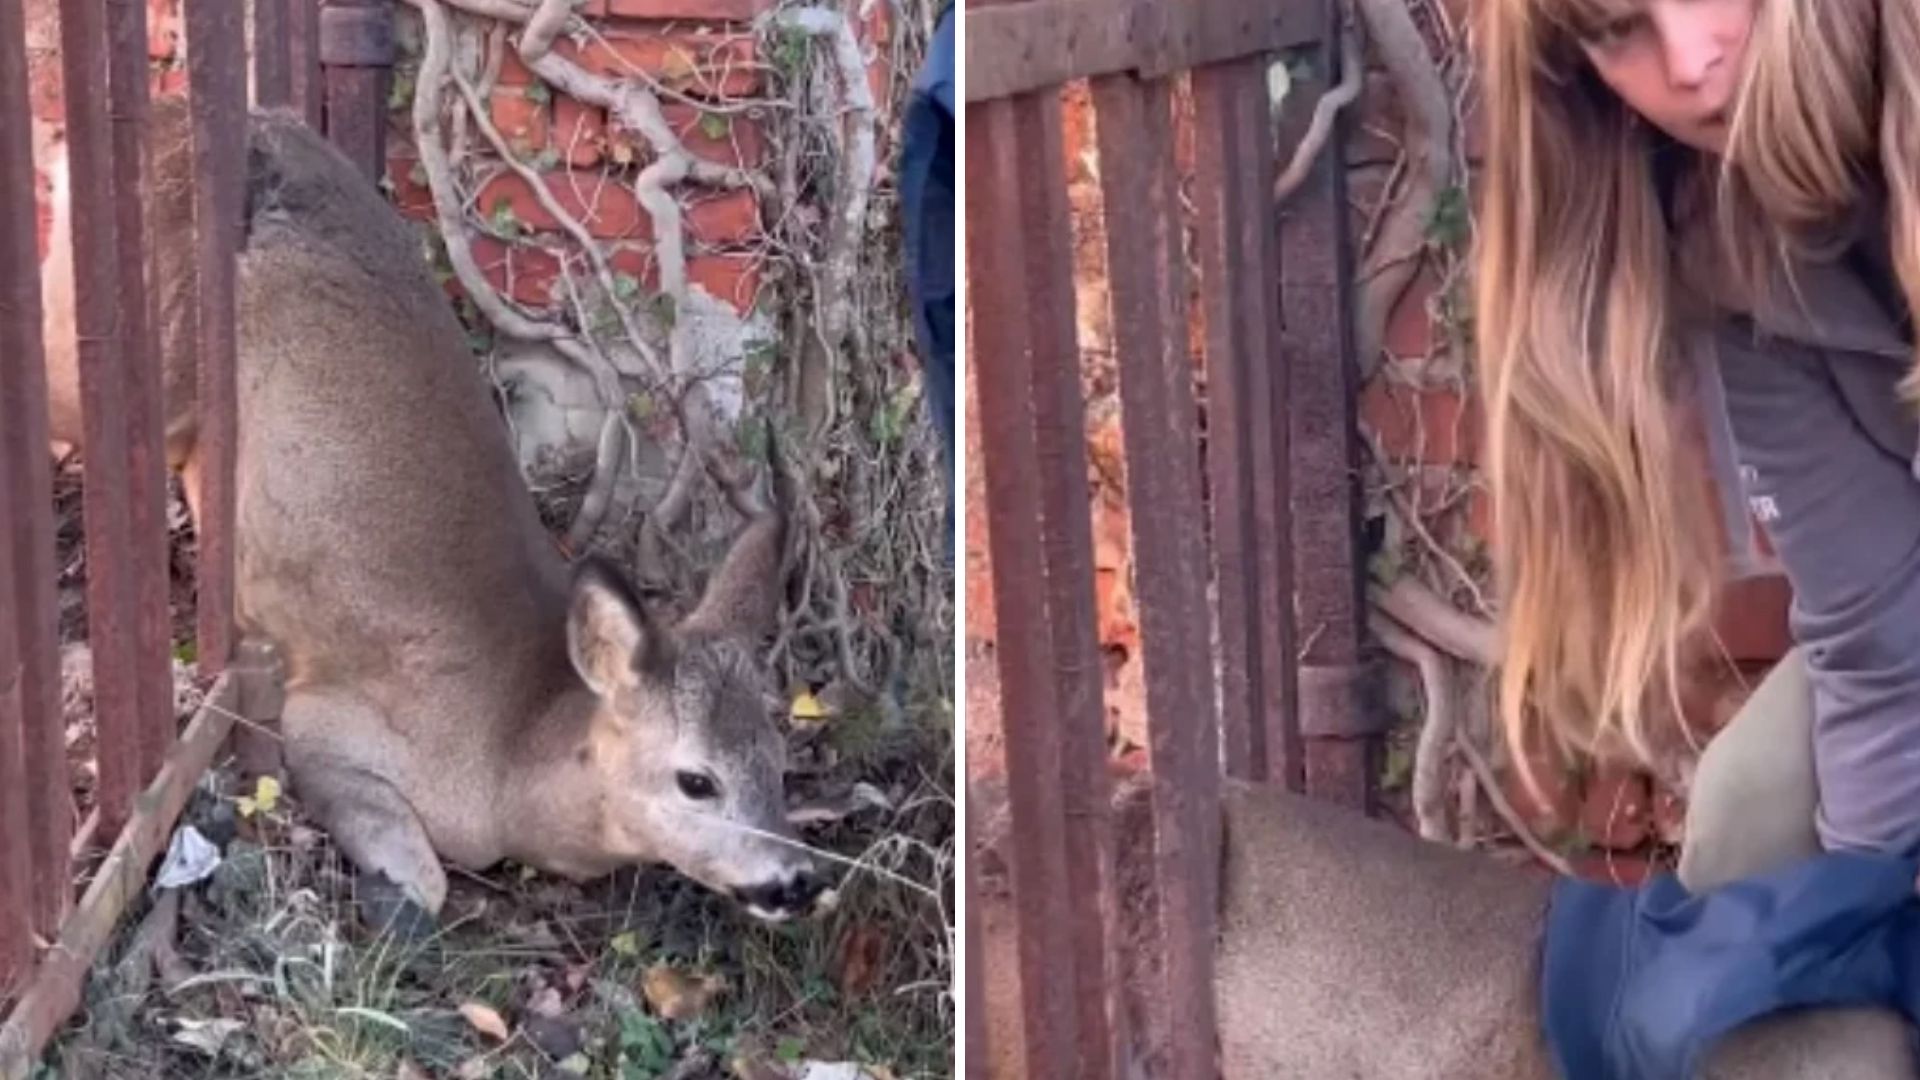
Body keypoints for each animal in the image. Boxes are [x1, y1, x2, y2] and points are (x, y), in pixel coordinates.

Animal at [35, 94, 833, 926]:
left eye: (778, 765)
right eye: (697, 780)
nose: (797, 879)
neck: (511, 755)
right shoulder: (327, 720)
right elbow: (424, 875)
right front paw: (391, 895)